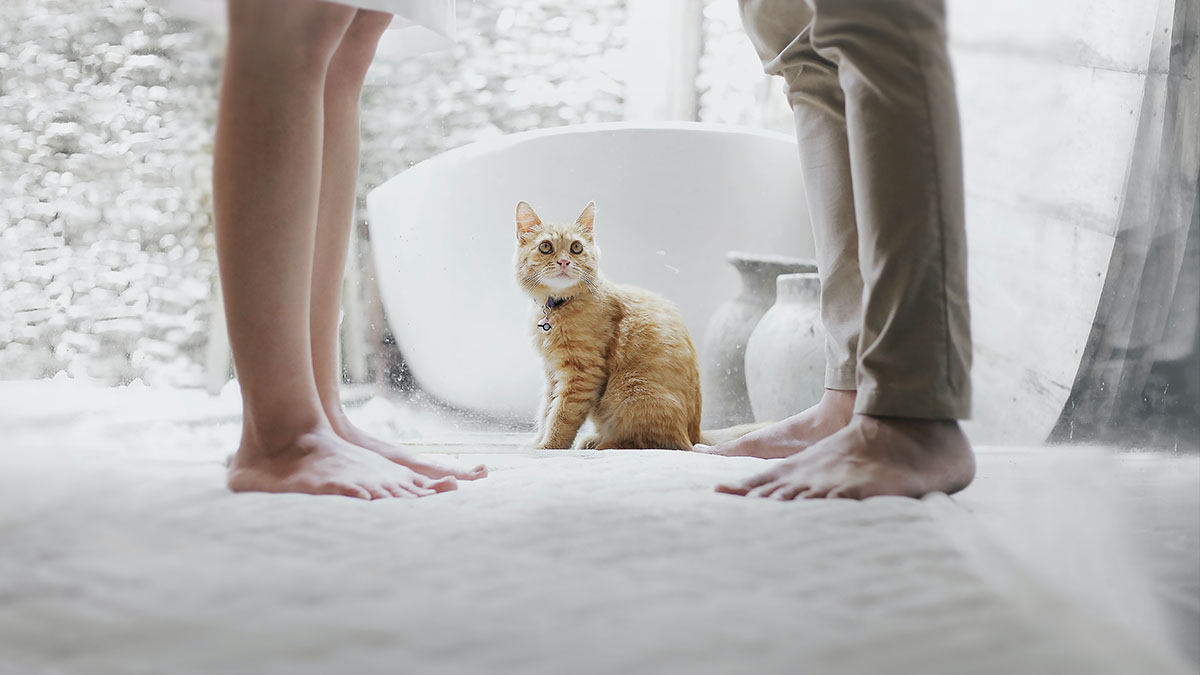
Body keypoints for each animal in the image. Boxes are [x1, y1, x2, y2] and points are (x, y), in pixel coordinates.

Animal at [513, 201, 758, 449]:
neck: (557, 307)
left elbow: (561, 415)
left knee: (640, 440)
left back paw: (601, 444)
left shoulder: (582, 373)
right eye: (545, 247)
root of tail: (695, 433)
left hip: (631, 391)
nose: (564, 261)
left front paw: (548, 445)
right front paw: (537, 440)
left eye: (576, 248)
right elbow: (546, 411)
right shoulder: (552, 373)